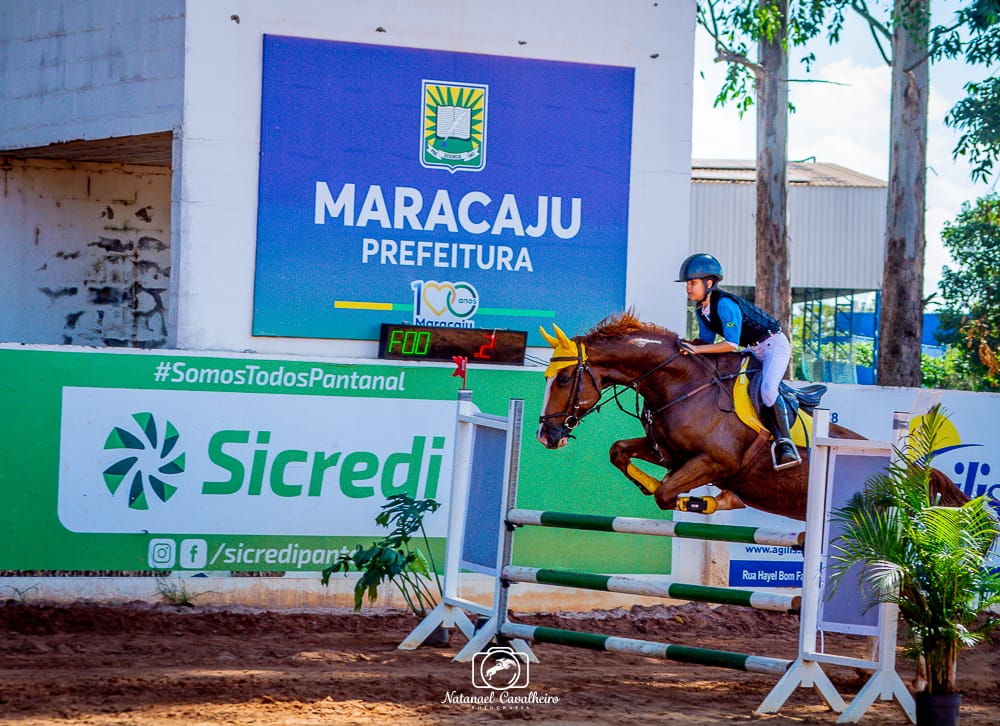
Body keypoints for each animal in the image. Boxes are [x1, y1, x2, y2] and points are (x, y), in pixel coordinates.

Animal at [540, 312, 968, 524]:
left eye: (564, 378)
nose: (547, 435)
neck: (682, 384)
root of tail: (915, 472)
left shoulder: (715, 461)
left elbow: (667, 495)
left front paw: (705, 503)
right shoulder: (672, 454)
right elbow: (620, 452)